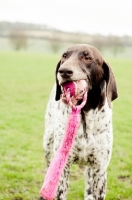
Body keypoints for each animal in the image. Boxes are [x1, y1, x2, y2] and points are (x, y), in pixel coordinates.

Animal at [41, 44, 117, 199]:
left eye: (87, 57)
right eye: (64, 56)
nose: (64, 71)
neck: (85, 117)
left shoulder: (99, 170)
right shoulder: (63, 168)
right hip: (47, 142)